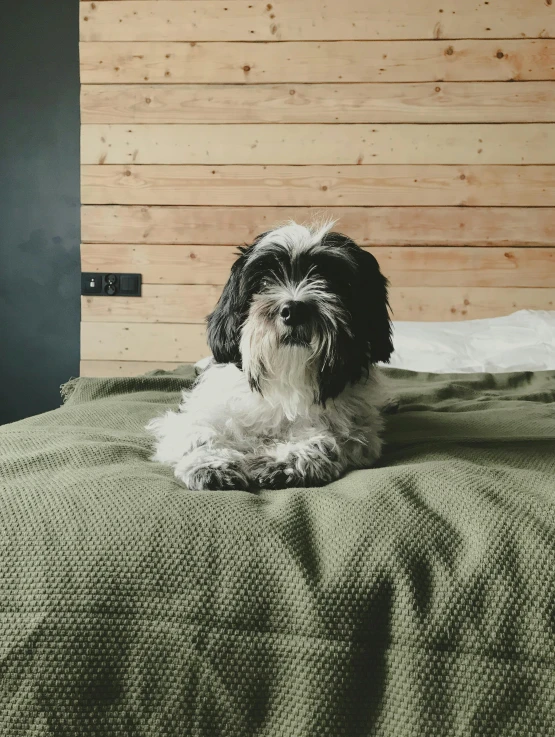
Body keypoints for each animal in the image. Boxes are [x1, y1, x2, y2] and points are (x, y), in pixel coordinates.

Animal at [146, 221, 394, 492]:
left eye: (332, 282)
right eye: (265, 283)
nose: (294, 309)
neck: (286, 382)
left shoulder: (357, 431)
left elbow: (324, 439)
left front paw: (286, 462)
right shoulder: (197, 415)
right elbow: (199, 431)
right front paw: (212, 464)